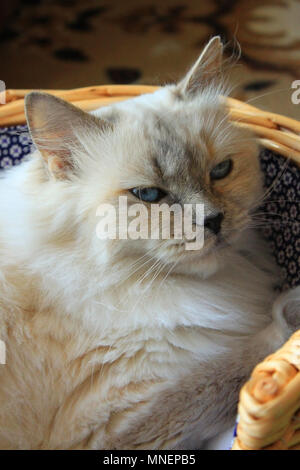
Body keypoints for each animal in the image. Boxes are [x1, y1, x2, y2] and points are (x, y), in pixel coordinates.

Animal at [0, 35, 298, 448]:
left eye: (221, 171)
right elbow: (240, 364)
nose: (213, 220)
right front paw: (290, 315)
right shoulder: (111, 426)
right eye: (148, 195)